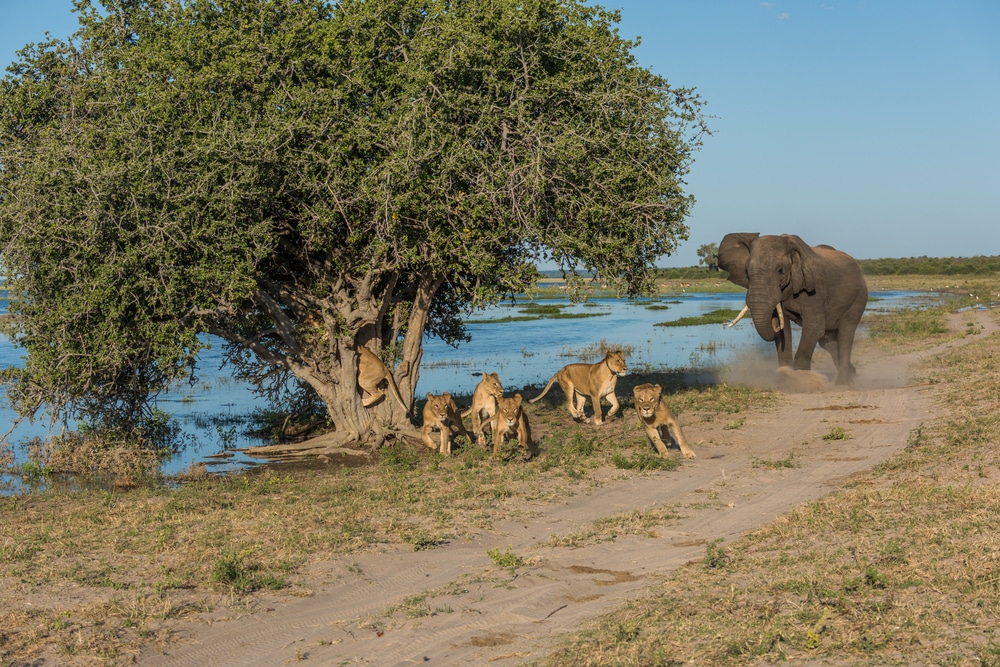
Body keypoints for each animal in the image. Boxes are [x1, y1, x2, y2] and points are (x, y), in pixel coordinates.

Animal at [720, 234, 868, 386]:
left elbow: (814, 327)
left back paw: (842, 382)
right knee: (828, 341)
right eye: (746, 272)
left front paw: (800, 379)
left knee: (845, 333)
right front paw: (786, 377)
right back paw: (851, 374)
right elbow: (783, 329)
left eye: (780, 270)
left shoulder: (814, 289)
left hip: (859, 296)